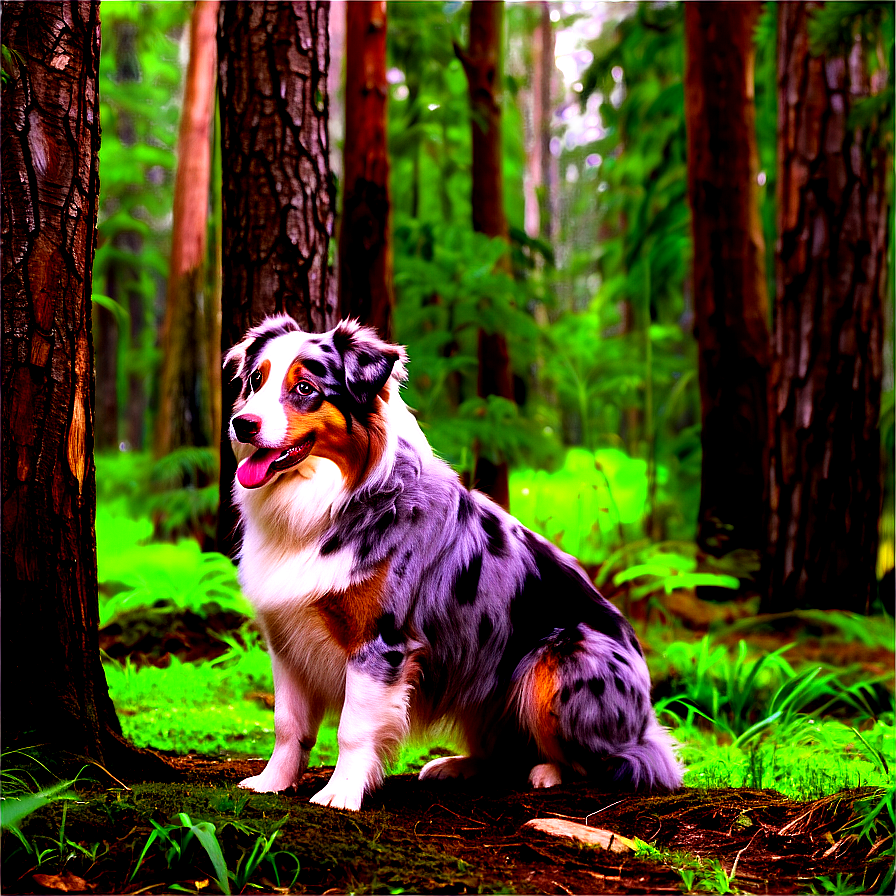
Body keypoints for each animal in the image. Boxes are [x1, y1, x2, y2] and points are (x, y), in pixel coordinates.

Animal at [226, 316, 688, 812]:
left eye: (305, 388)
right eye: (255, 382)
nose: (241, 424)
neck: (329, 501)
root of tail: (644, 714)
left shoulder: (380, 641)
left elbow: (353, 728)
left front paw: (341, 793)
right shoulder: (288, 637)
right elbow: (287, 725)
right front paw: (272, 782)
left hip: (554, 663)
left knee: (613, 761)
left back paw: (547, 771)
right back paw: (457, 765)